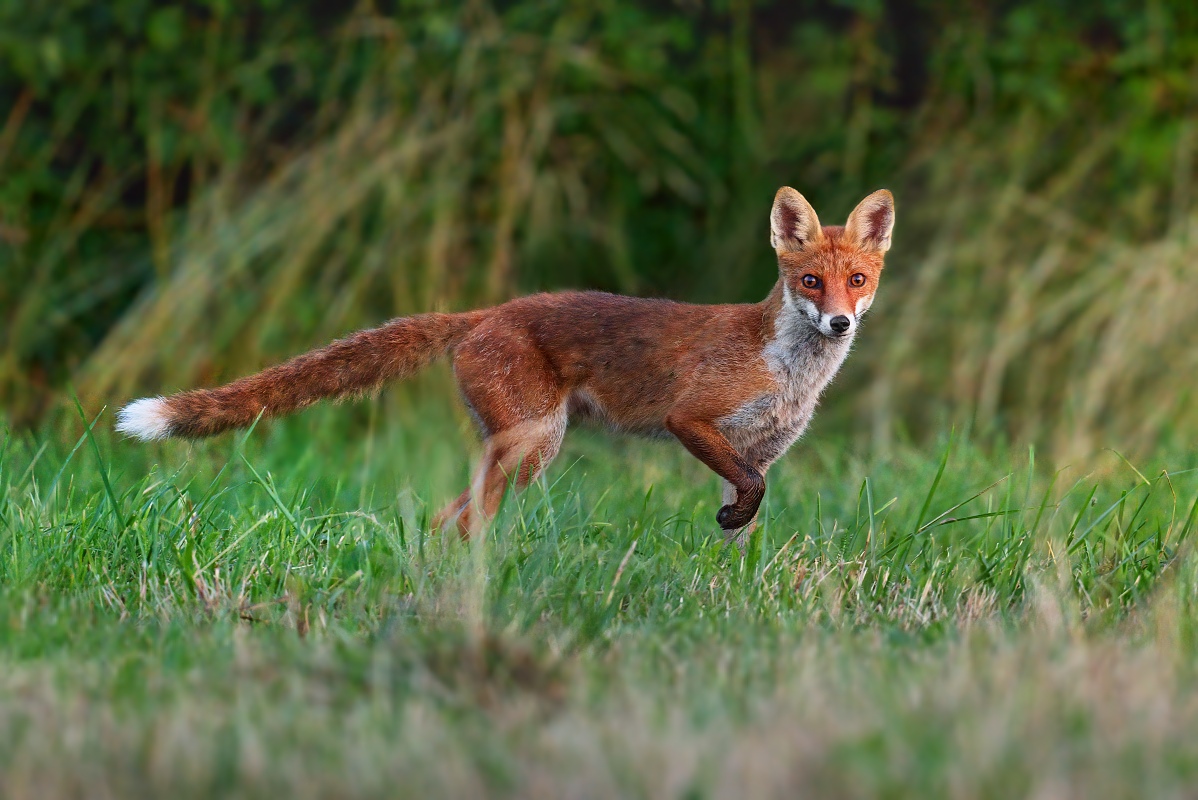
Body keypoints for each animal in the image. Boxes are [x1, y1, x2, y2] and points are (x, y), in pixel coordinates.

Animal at [116, 188, 896, 541]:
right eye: (809, 282)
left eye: (856, 281)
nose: (839, 322)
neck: (788, 373)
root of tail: (483, 313)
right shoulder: (691, 419)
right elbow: (743, 489)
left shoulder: (762, 451)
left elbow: (750, 512)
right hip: (533, 446)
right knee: (457, 520)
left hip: (520, 448)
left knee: (445, 518)